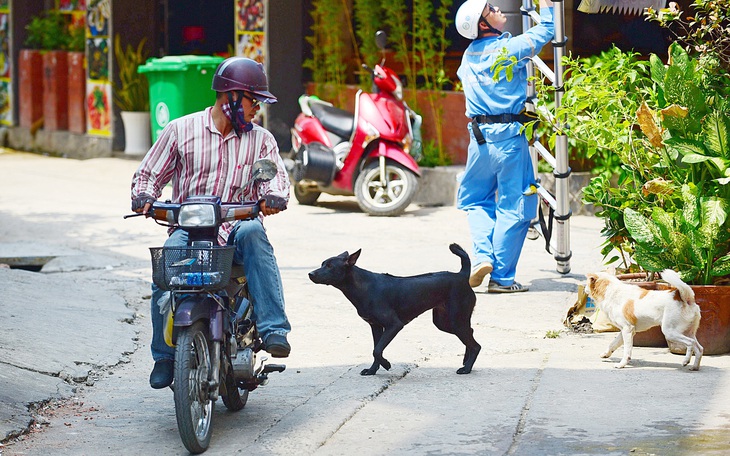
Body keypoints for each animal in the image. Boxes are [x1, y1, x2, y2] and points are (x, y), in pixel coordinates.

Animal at [306, 244, 478, 376]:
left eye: (330, 266)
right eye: (322, 263)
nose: (310, 274)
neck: (362, 286)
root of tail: (462, 275)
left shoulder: (394, 325)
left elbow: (377, 350)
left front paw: (386, 364)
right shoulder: (375, 326)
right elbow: (376, 349)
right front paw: (372, 370)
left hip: (455, 321)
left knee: (476, 345)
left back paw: (467, 368)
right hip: (444, 322)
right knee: (471, 332)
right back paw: (465, 361)